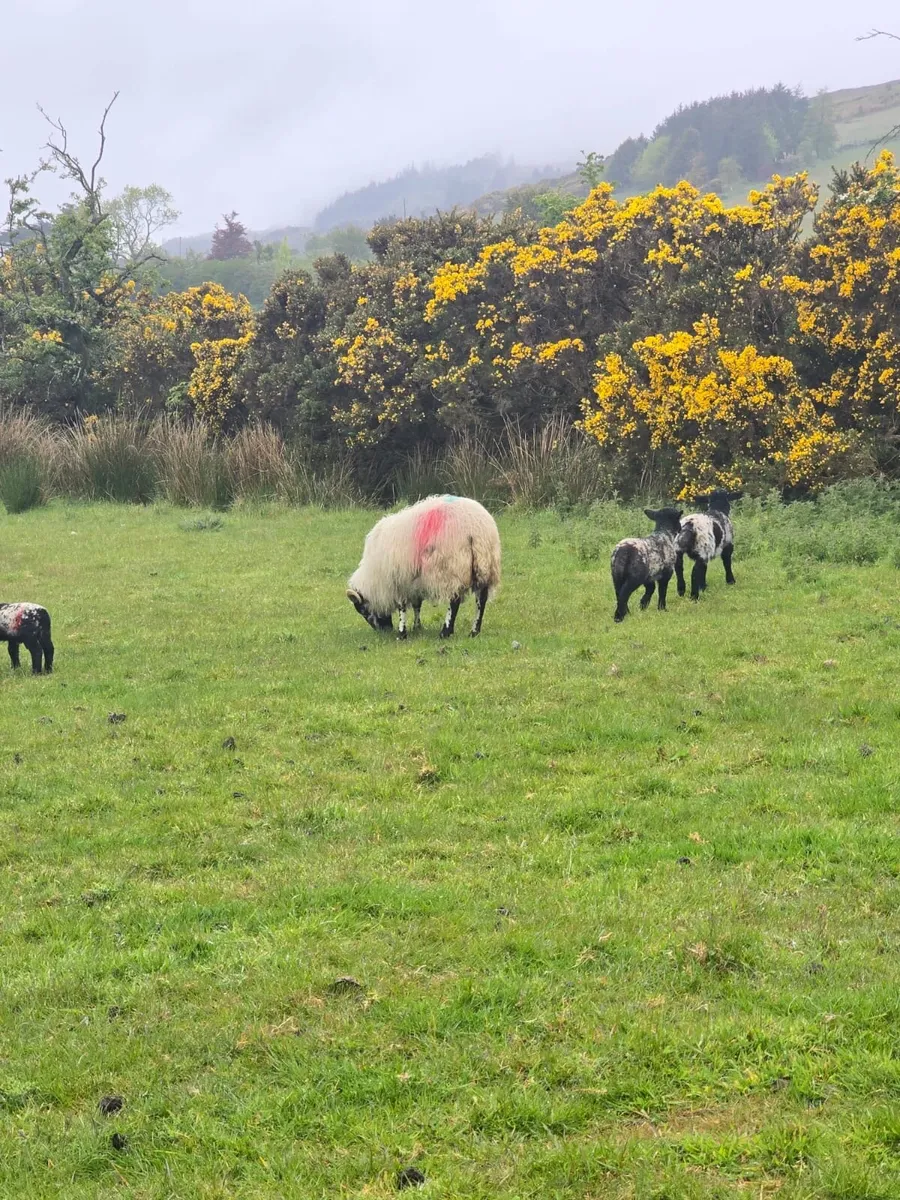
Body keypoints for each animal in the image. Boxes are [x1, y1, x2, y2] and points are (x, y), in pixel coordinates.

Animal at [347, 494, 501, 639]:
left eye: (363, 611)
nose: (384, 630)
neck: (375, 577)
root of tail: (475, 529)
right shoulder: (415, 580)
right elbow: (417, 604)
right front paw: (417, 627)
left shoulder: (399, 579)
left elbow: (402, 607)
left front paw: (402, 634)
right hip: (485, 566)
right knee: (481, 599)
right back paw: (474, 631)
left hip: (452, 567)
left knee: (454, 601)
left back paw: (446, 632)